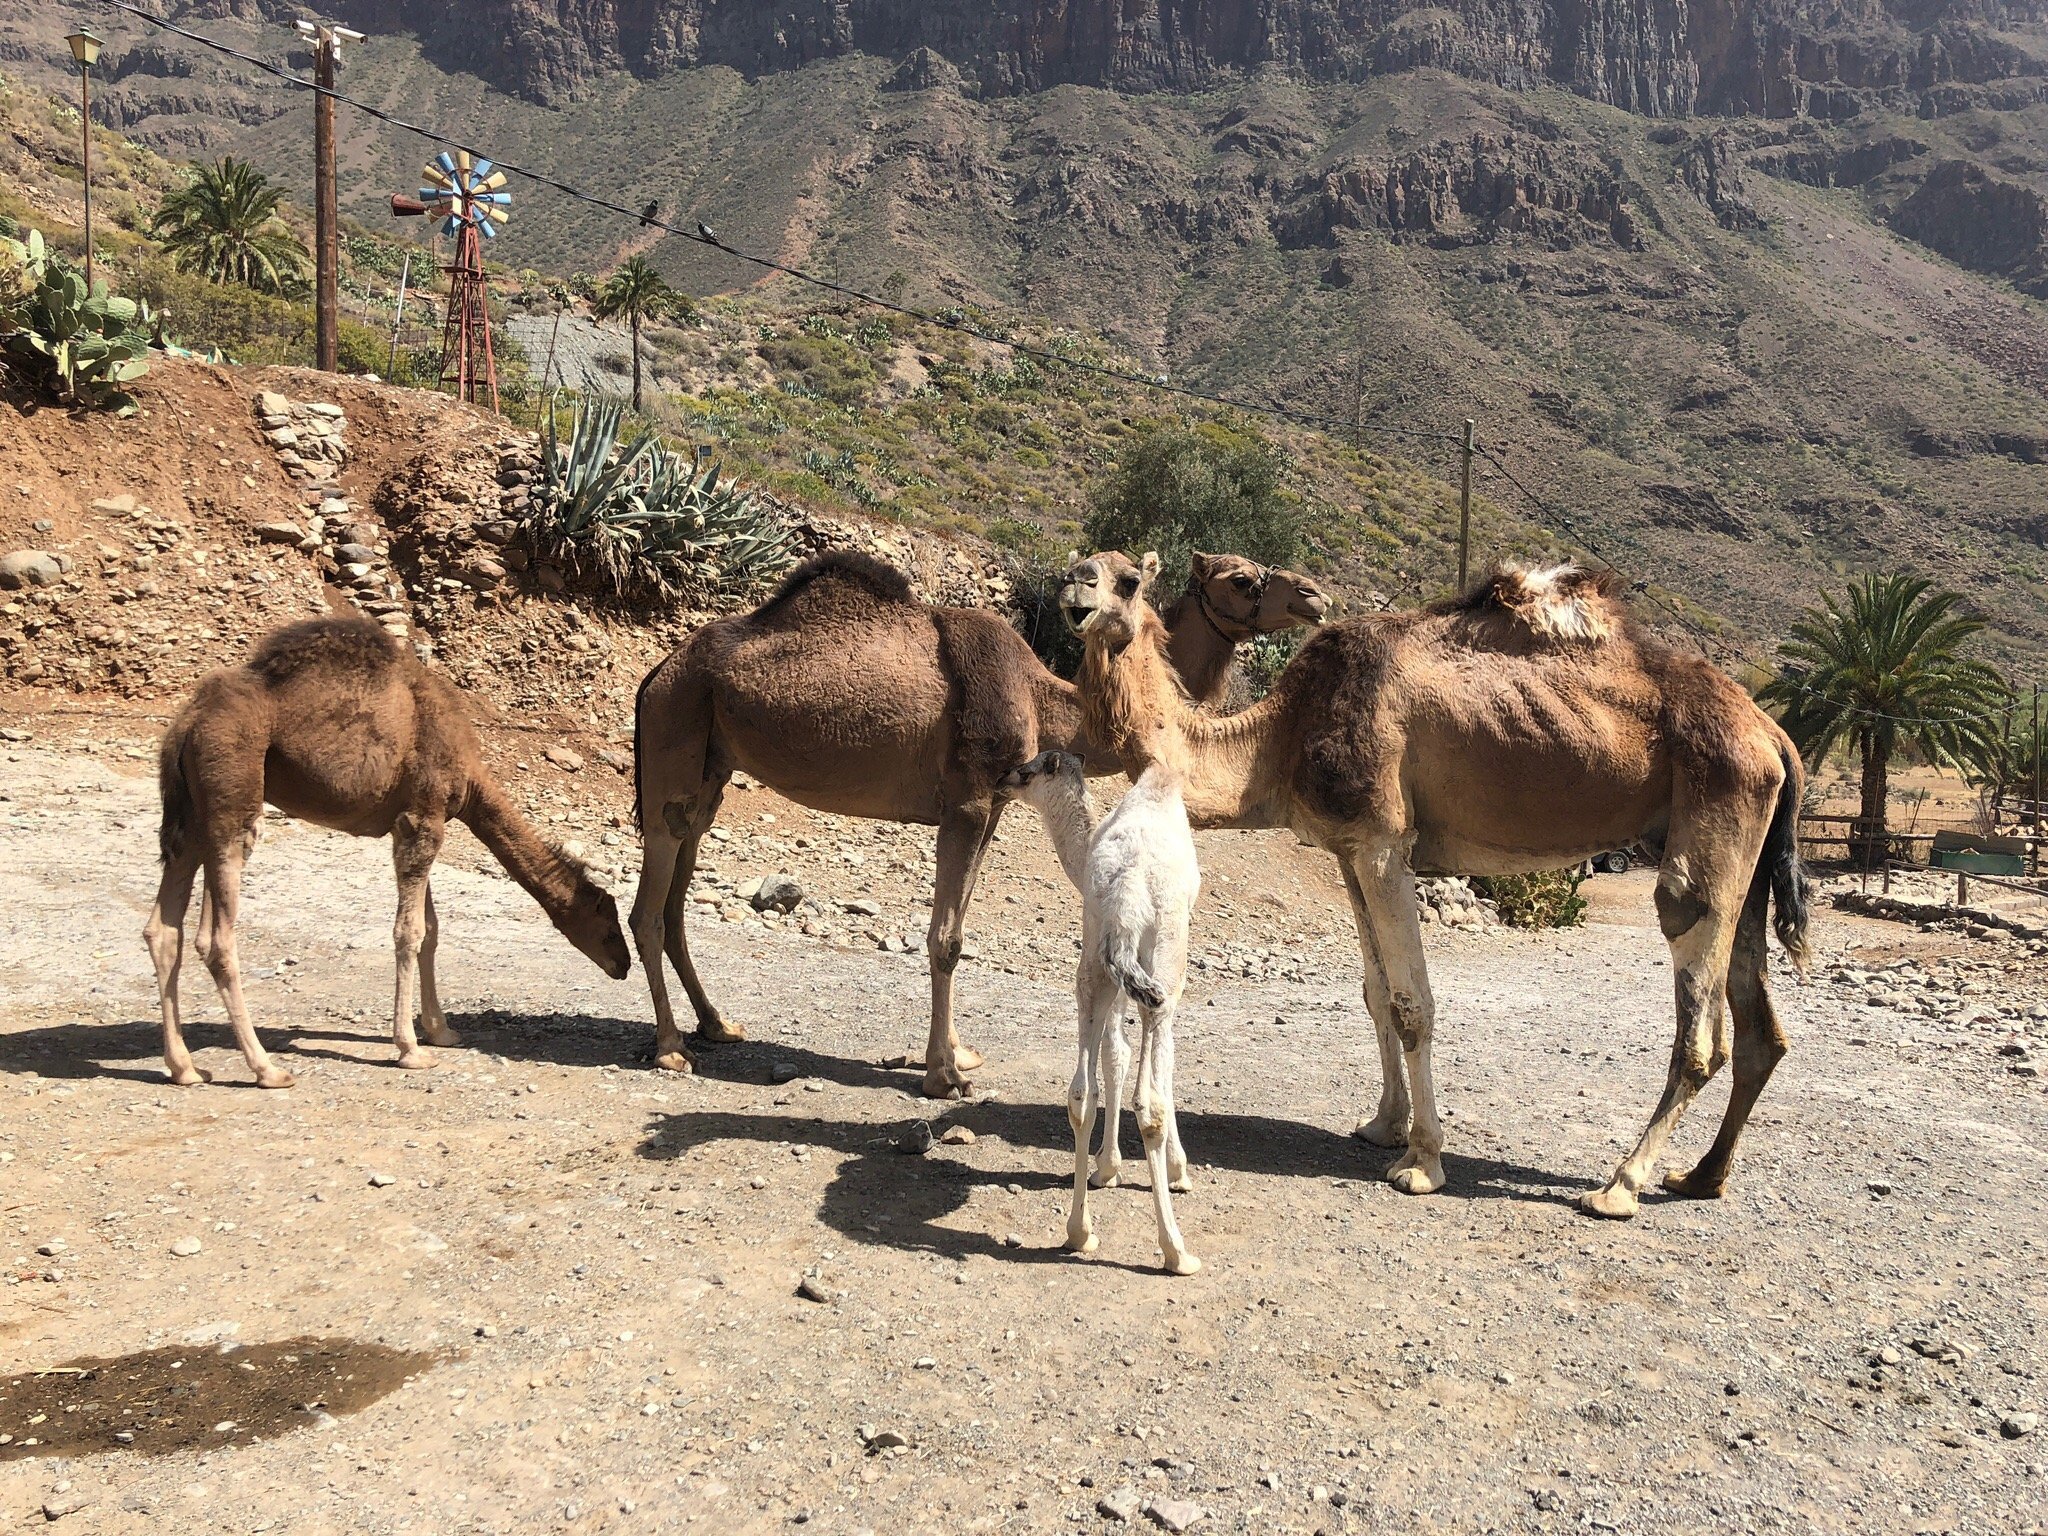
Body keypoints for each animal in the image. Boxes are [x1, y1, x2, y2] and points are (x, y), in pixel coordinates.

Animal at [147, 618, 626, 1097]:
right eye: (608, 925)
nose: (622, 965)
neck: (471, 780)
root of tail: (186, 723)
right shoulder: (423, 819)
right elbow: (408, 933)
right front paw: (410, 1049)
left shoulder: (412, 822)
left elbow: (430, 930)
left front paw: (441, 1031)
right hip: (233, 793)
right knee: (217, 939)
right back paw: (267, 1070)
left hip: (190, 815)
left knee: (164, 928)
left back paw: (185, 1068)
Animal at [626, 548, 1327, 1097]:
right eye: (1242, 580)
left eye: (1129, 579)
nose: (1314, 598)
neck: (1044, 699)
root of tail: (656, 673)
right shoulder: (964, 803)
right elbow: (944, 940)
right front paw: (943, 1075)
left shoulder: (993, 806)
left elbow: (958, 931)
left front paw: (959, 1053)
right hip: (673, 740)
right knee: (647, 906)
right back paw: (670, 1047)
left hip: (710, 772)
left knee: (677, 894)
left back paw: (717, 1024)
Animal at [1003, 745, 1204, 1277]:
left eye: (1028, 771)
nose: (1002, 777)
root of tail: (1128, 892)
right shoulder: (1158, 987)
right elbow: (1155, 1067)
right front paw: (1176, 1170)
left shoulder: (1116, 977)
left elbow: (1113, 1057)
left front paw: (1105, 1168)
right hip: (1162, 968)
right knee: (1149, 1102)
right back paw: (1177, 1252)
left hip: (1093, 961)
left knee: (1079, 1092)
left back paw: (1079, 1233)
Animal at [1064, 548, 1802, 1220]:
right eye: (1085, 563)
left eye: (1126, 581)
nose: (1074, 586)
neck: (1279, 740)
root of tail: (1773, 733)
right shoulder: (1348, 849)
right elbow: (1376, 994)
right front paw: (1383, 1125)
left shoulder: (1384, 840)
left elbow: (1413, 1002)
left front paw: (1421, 1161)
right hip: (1747, 847)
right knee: (1759, 1029)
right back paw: (1701, 1176)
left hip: (1716, 812)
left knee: (1698, 1009)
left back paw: (1620, 1185)